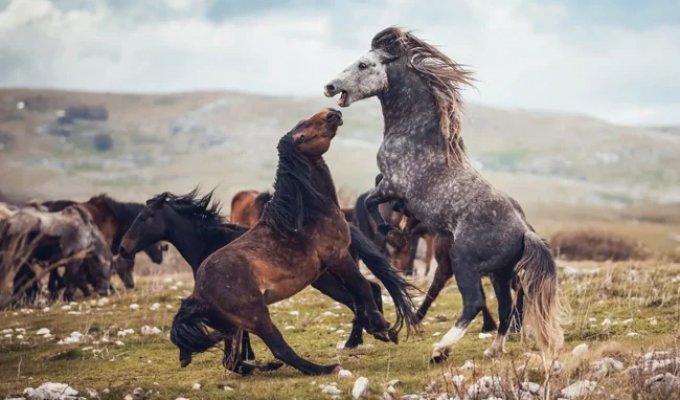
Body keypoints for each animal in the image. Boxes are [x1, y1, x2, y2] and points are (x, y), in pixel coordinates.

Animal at [170, 109, 419, 375]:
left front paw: (379, 329)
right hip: (256, 316)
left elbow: (360, 292)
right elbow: (362, 288)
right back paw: (323, 368)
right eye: (302, 136)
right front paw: (382, 328)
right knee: (279, 348)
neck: (308, 216)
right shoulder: (338, 256)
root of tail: (199, 295)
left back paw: (266, 367)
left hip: (232, 327)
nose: (332, 113)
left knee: (232, 360)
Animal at [325, 27, 563, 361]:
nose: (330, 86)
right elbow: (383, 202)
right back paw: (492, 349)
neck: (415, 135)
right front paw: (402, 226)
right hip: (500, 274)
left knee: (474, 303)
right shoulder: (393, 189)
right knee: (504, 307)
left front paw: (394, 233)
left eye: (363, 64)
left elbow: (372, 200)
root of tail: (523, 231)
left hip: (464, 262)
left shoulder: (392, 184)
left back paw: (441, 349)